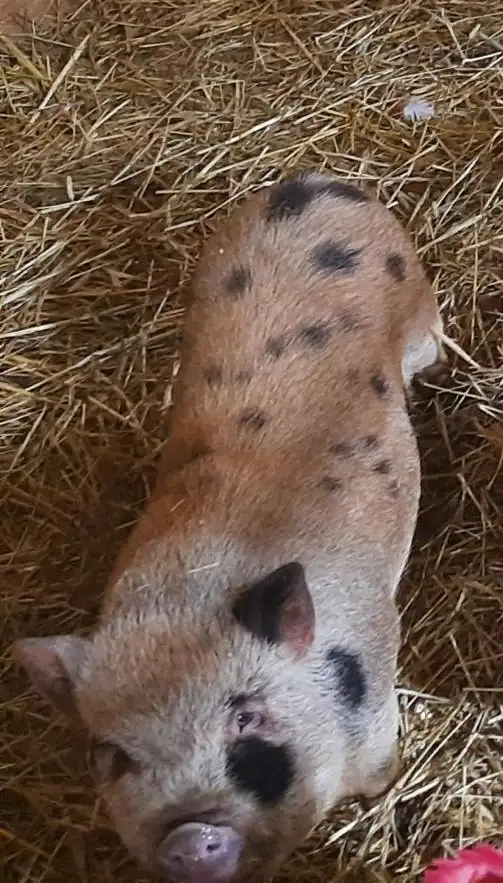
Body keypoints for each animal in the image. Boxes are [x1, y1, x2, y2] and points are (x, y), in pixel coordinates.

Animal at [13, 171, 446, 883]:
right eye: (114, 754)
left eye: (246, 717)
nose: (188, 836)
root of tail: (312, 182)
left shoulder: (379, 668)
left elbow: (381, 767)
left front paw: (382, 790)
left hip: (417, 297)